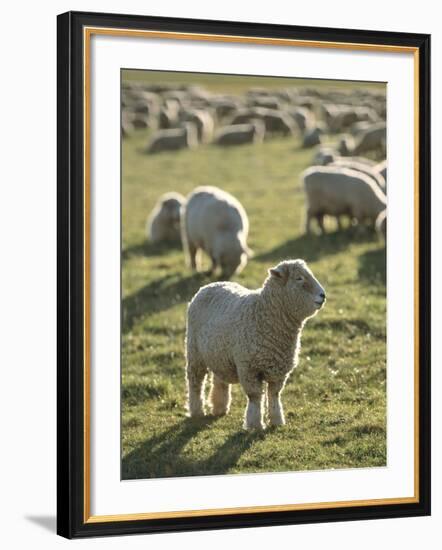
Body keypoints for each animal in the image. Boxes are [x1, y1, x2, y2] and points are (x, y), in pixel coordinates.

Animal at [185, 260, 326, 432]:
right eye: (299, 278)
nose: (323, 295)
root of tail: (209, 285)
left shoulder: (279, 370)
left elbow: (274, 395)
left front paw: (277, 421)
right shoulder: (249, 369)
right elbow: (255, 396)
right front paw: (255, 425)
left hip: (219, 354)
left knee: (219, 380)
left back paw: (219, 408)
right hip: (194, 352)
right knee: (195, 381)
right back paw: (197, 411)